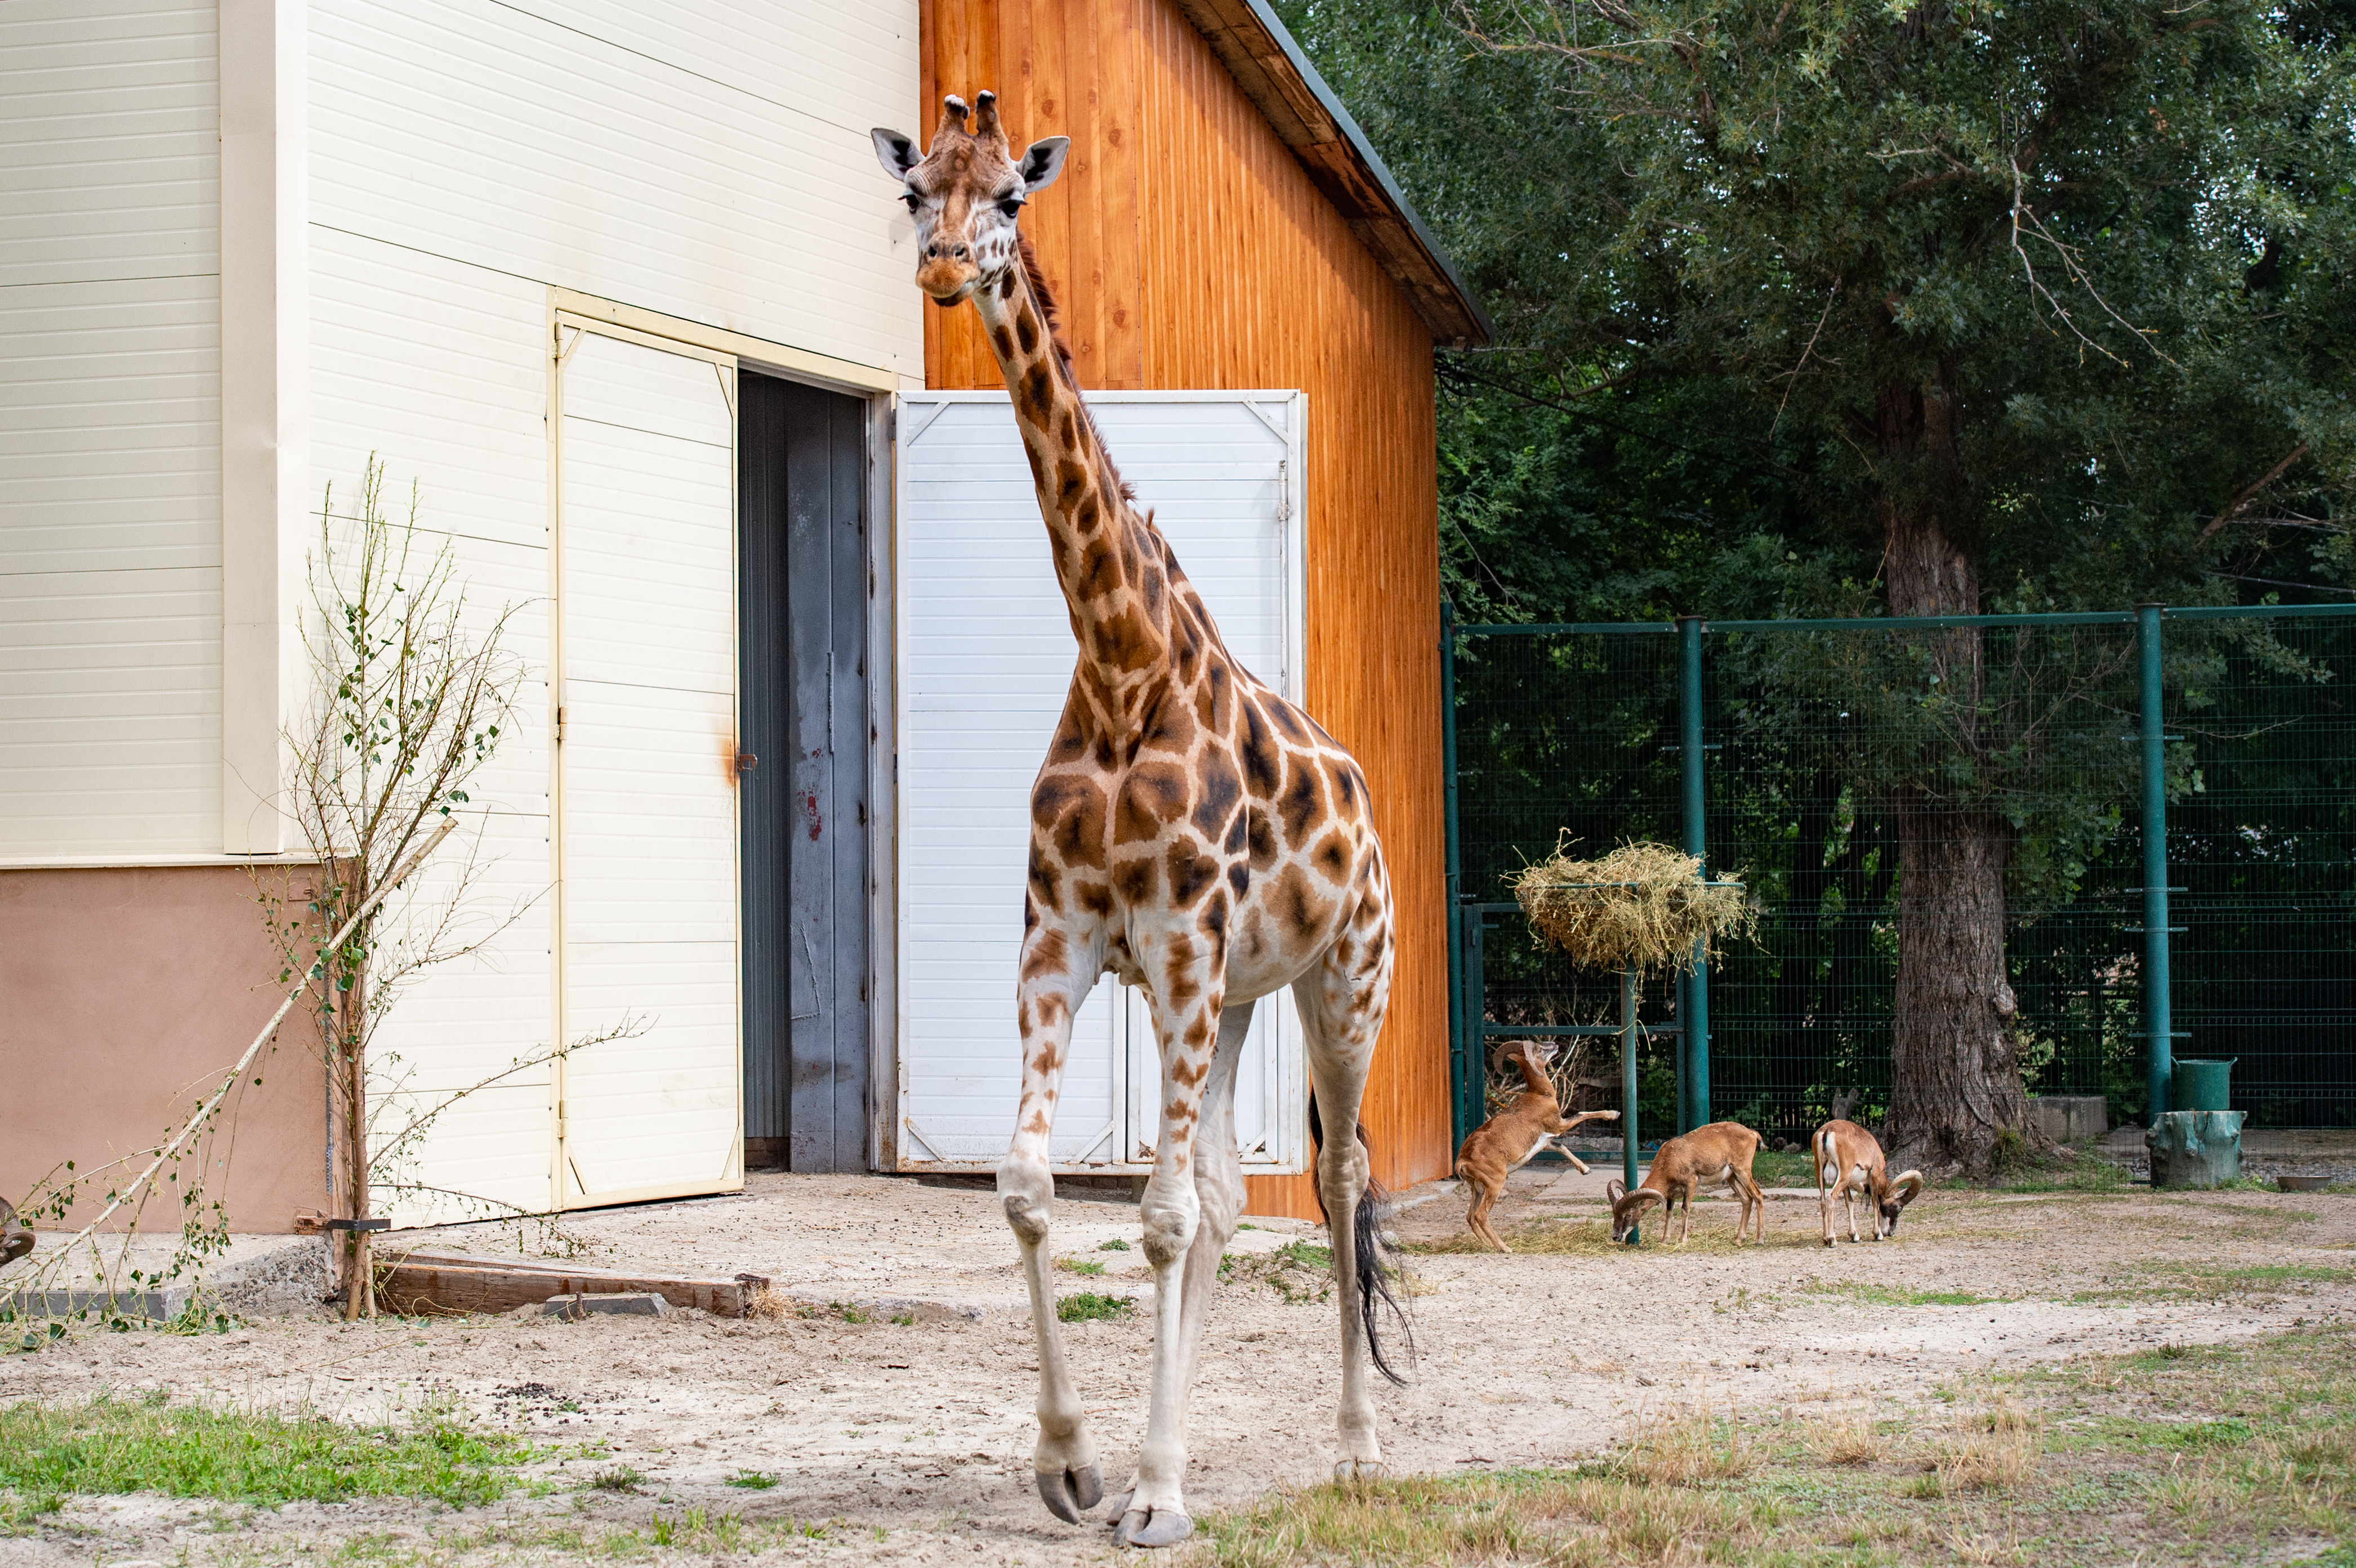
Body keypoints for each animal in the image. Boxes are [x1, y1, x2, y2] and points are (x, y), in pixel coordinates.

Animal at [876, 95, 1404, 1535]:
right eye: (915, 193)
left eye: (1009, 195)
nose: (943, 266)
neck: (1121, 664)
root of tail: (1368, 801)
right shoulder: (1062, 939)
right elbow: (1032, 1186)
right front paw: (1077, 1461)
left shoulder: (1175, 944)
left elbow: (1158, 1213)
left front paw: (1152, 1490)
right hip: (1237, 998)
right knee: (1224, 1191)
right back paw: (1187, 1447)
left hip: (1342, 978)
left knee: (1335, 1180)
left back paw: (1353, 1447)